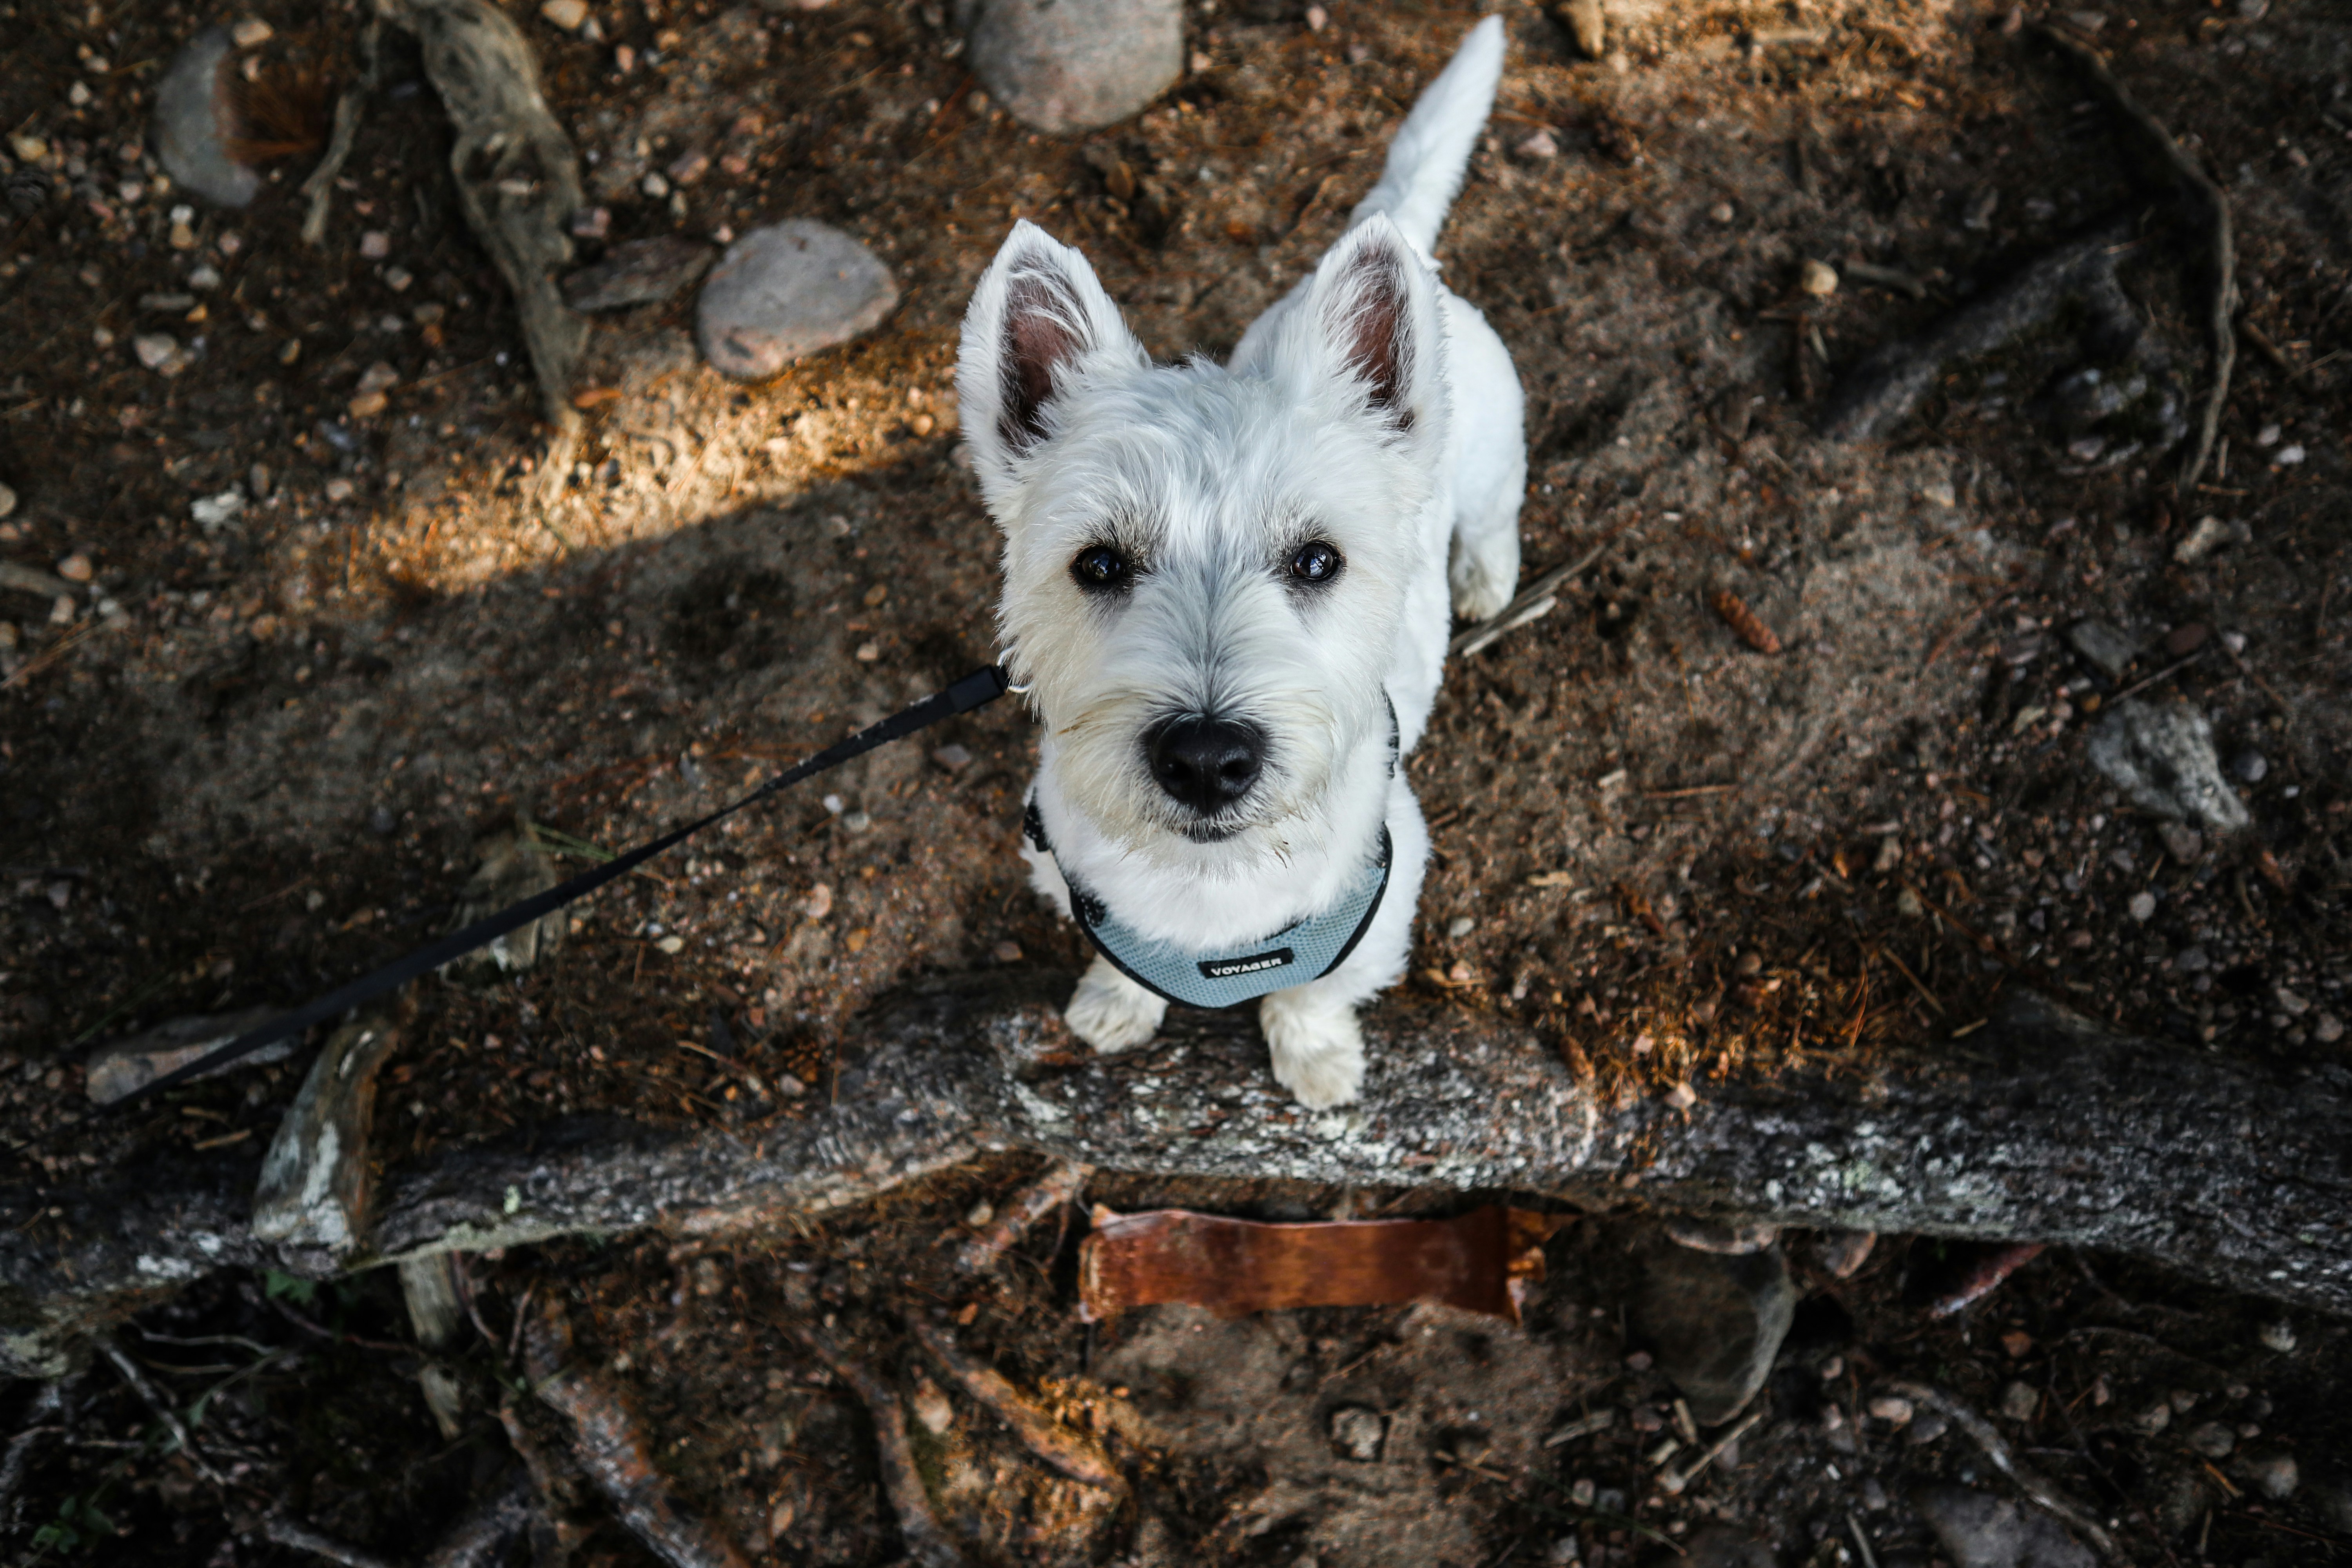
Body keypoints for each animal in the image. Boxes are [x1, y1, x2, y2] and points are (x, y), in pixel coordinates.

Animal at [955, 18, 1524, 1109]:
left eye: (1317, 559)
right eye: (1098, 564)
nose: (1206, 760)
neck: (1212, 890)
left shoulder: (1384, 898)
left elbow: (1313, 988)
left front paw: (1316, 1057)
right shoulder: (1072, 878)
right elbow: (1119, 961)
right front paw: (1116, 1006)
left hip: (1490, 463)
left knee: (1495, 519)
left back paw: (1487, 580)